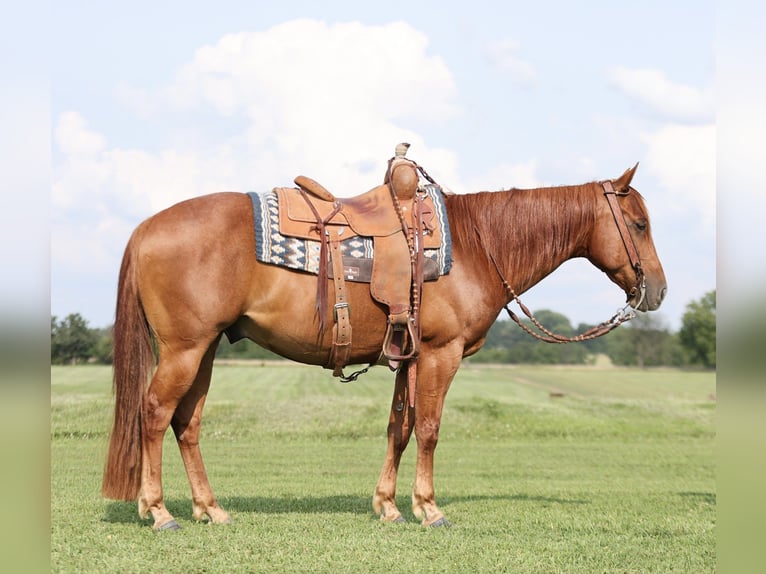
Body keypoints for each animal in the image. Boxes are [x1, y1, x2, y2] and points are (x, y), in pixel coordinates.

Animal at [100, 162, 664, 532]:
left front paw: (389, 505)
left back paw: (209, 508)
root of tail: (146, 227)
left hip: (206, 348)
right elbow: (430, 429)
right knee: (154, 413)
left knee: (186, 422)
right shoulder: (440, 353)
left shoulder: (407, 357)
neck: (477, 245)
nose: (656, 290)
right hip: (184, 348)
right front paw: (428, 508)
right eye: (639, 224)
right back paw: (159, 512)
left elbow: (400, 428)